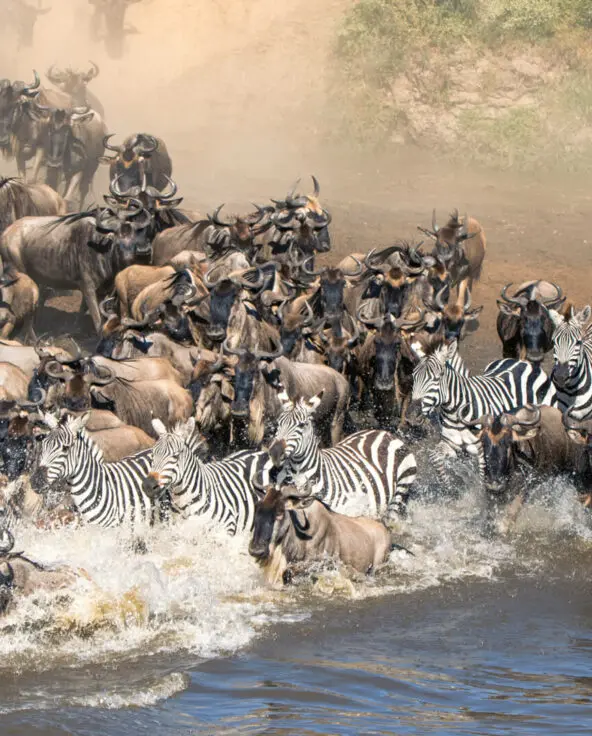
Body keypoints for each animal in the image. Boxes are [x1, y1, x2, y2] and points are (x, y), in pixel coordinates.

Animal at [410, 337, 557, 469]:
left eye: (437, 378)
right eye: (413, 376)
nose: (413, 414)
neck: (456, 414)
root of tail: (521, 361)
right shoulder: (450, 444)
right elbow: (436, 458)